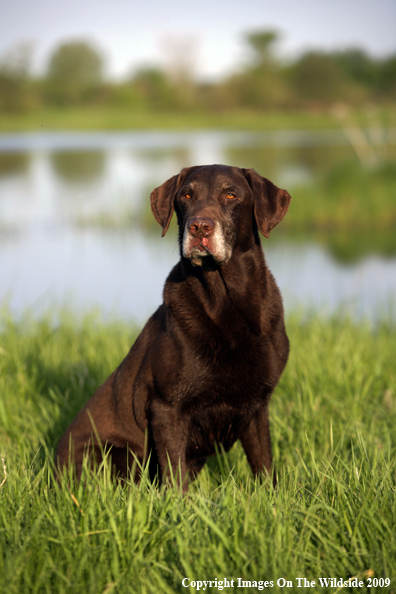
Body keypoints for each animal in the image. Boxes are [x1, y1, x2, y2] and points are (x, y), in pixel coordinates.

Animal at [55, 162, 290, 486]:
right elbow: (175, 476)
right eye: (187, 196)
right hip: (114, 454)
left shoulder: (257, 405)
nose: (199, 227)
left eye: (231, 194)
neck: (226, 301)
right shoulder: (167, 407)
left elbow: (264, 465)